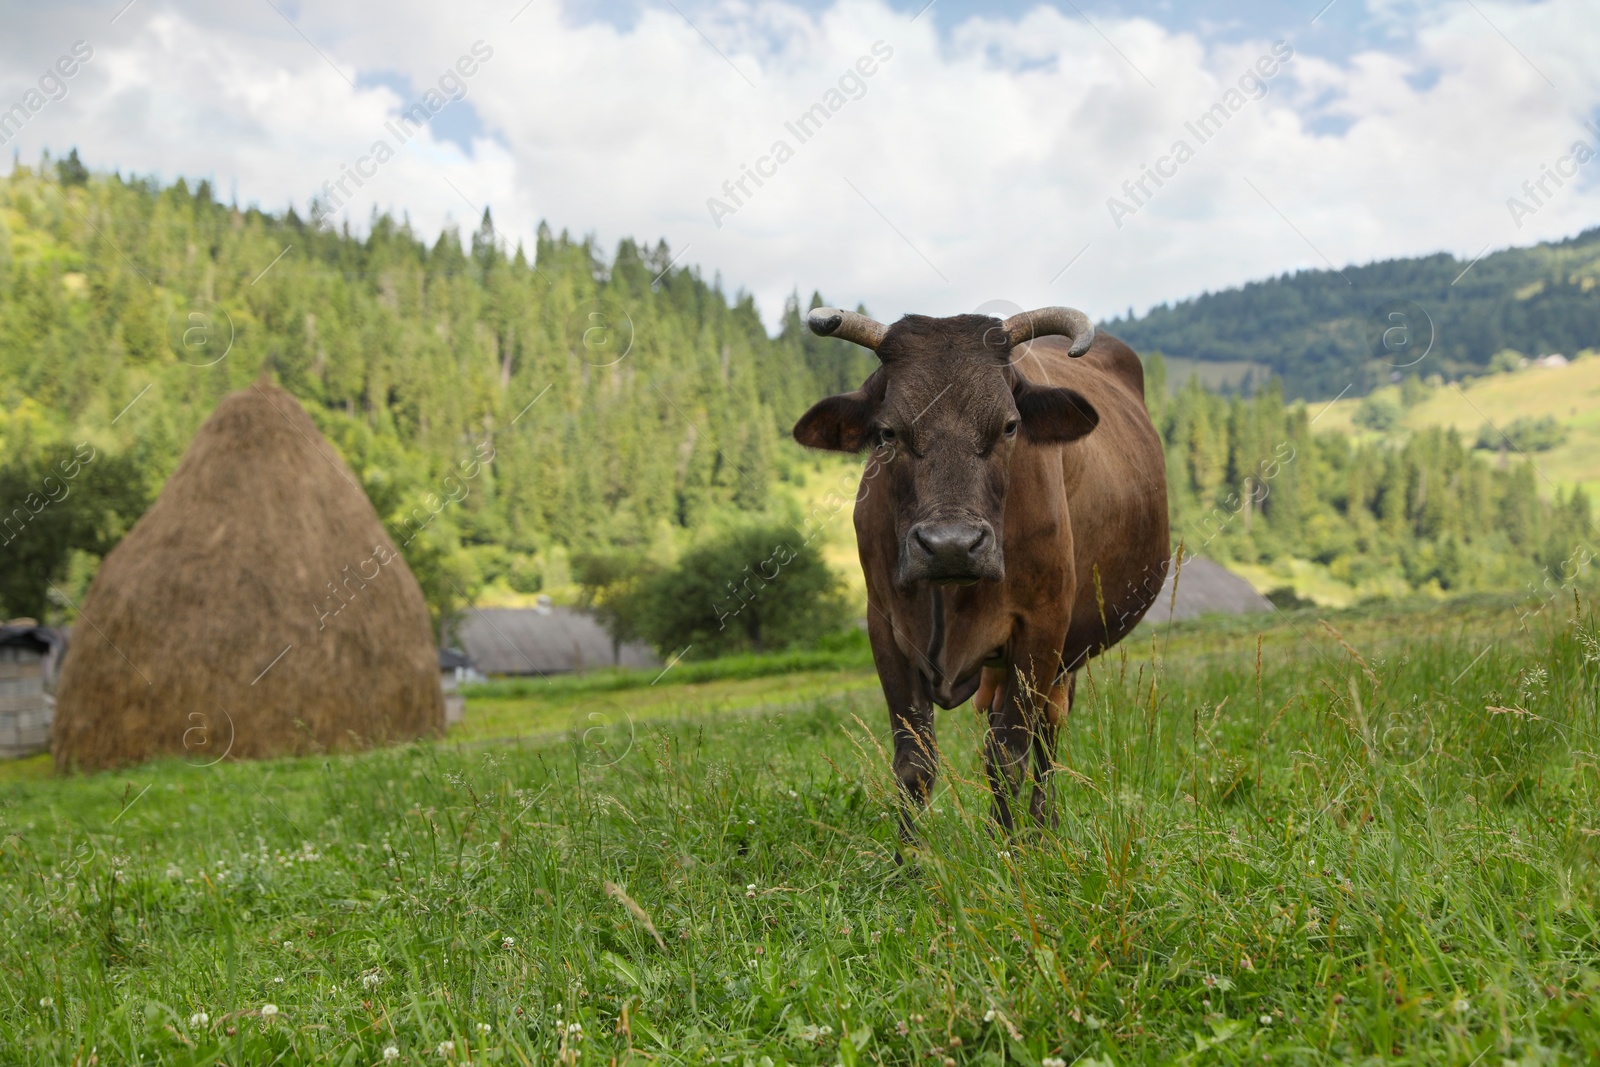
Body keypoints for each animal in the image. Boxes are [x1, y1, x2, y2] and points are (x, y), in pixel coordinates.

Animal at [793, 303, 1171, 838]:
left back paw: (1039, 829)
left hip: (1065, 654)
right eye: (888, 433)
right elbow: (914, 762)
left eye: (1010, 426)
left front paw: (1010, 850)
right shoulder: (885, 628)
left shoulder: (1041, 629)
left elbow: (1009, 756)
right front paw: (910, 857)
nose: (951, 546)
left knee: (1046, 731)